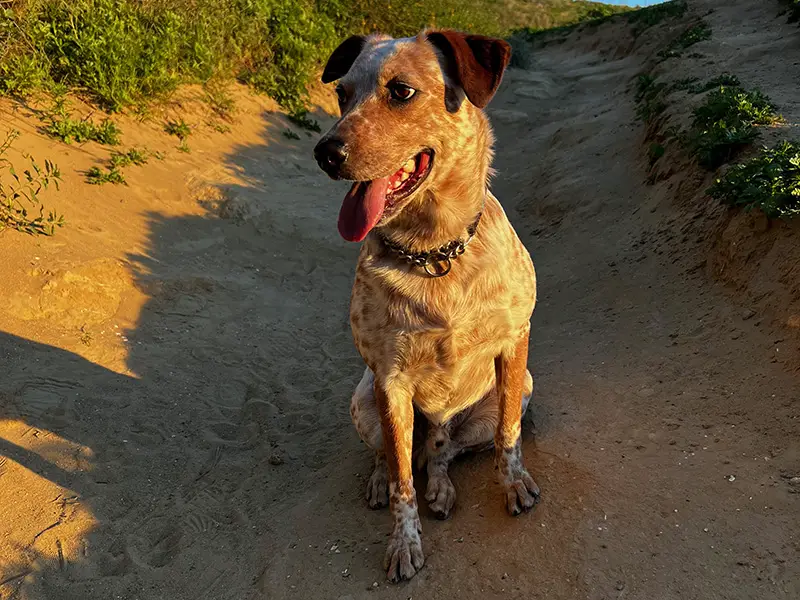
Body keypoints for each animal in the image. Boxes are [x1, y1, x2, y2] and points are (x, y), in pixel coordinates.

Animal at [312, 28, 536, 580]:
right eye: (342, 94)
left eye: (401, 91)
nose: (325, 152)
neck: (435, 254)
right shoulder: (390, 381)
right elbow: (401, 485)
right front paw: (402, 544)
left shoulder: (514, 341)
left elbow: (509, 436)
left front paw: (514, 484)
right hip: (363, 399)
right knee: (395, 458)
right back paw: (382, 480)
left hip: (516, 389)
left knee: (442, 450)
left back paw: (440, 485)